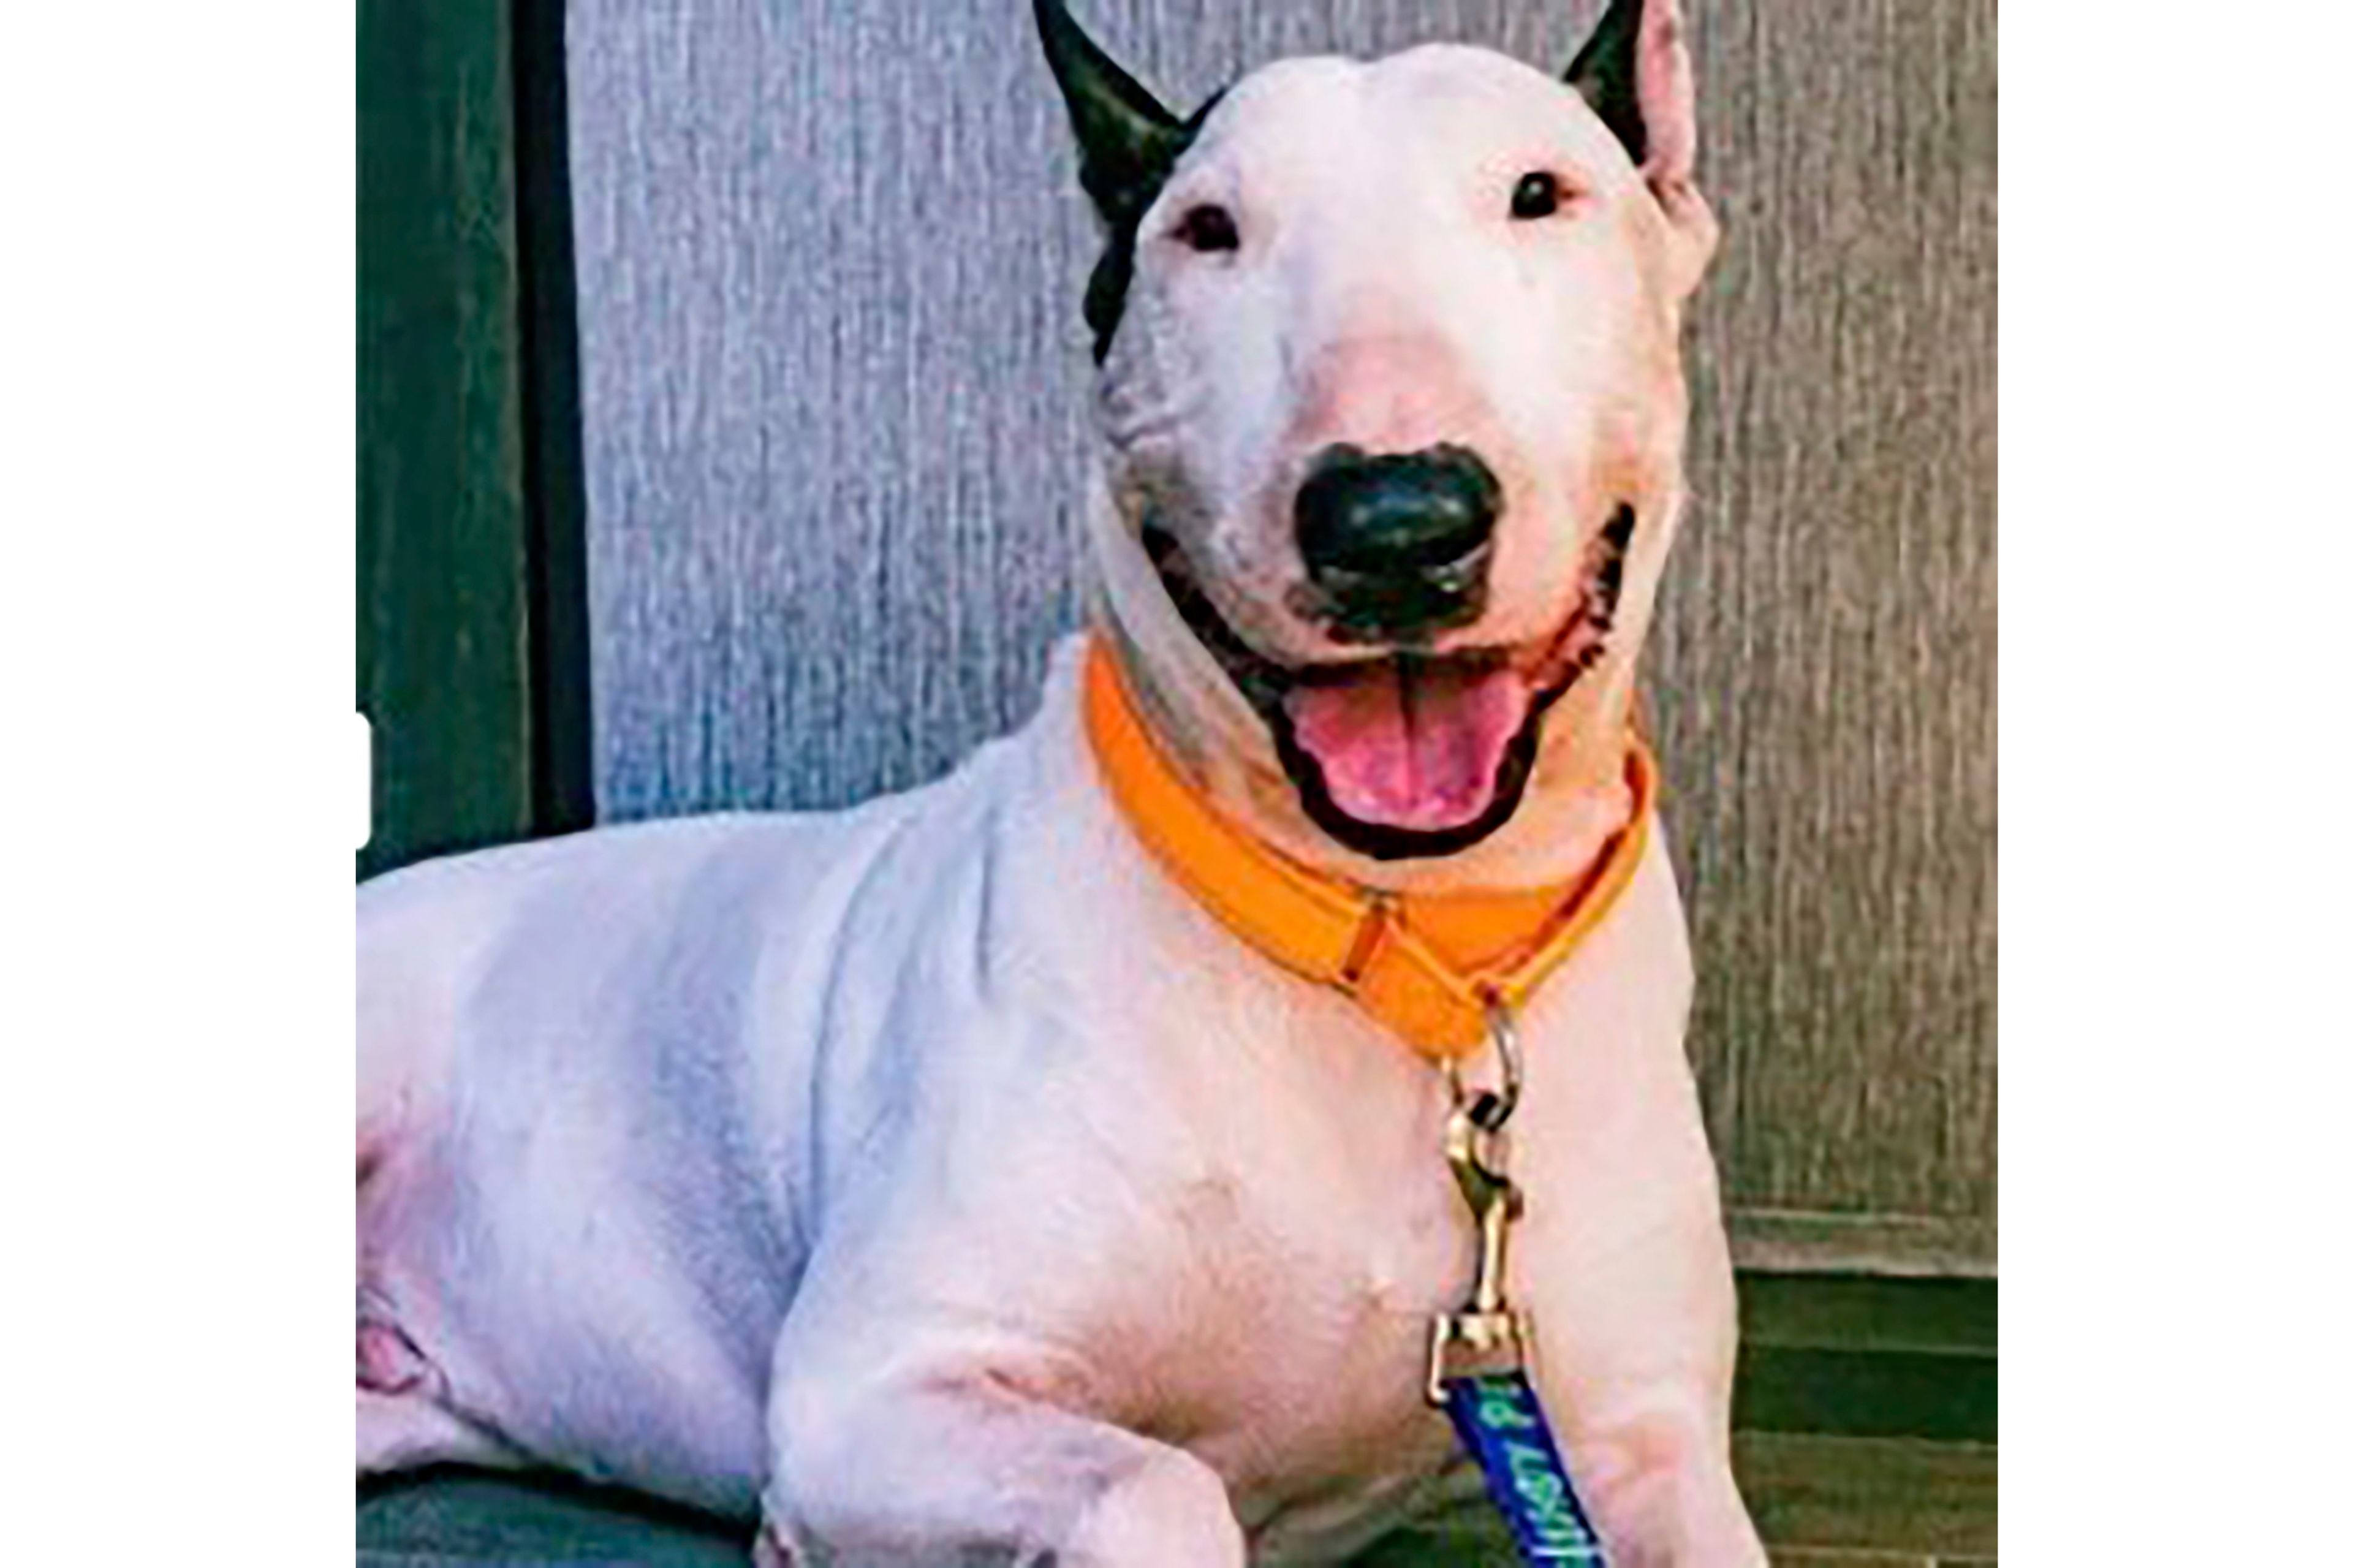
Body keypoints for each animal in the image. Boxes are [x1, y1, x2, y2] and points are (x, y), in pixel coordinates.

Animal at [357, 2, 1769, 1553]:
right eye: (1206, 231)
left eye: (1538, 194)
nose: (1393, 521)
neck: (1389, 941)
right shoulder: (874, 1392)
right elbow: (1159, 1478)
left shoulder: (1639, 1440)